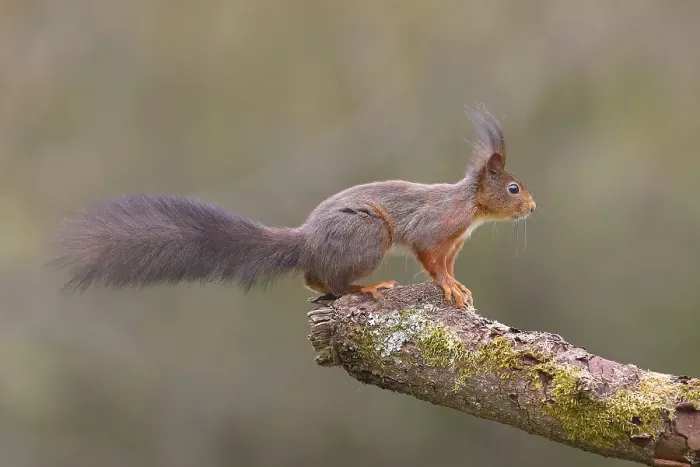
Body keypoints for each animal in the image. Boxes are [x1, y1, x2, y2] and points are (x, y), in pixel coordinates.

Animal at [51, 104, 535, 309]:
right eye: (513, 188)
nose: (533, 207)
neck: (470, 207)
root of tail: (307, 241)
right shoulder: (435, 230)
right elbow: (431, 261)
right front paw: (449, 288)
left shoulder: (454, 243)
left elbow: (447, 266)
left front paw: (458, 286)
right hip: (369, 236)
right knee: (335, 282)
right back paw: (365, 289)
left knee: (312, 279)